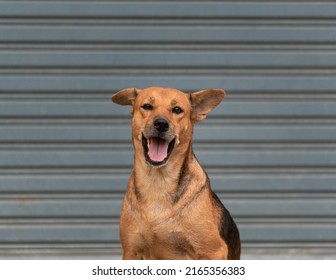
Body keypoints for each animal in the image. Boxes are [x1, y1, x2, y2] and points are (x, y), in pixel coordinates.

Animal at [111, 86, 240, 260]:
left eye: (177, 110)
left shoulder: (213, 251)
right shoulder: (131, 251)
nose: (161, 124)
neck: (158, 182)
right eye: (147, 106)